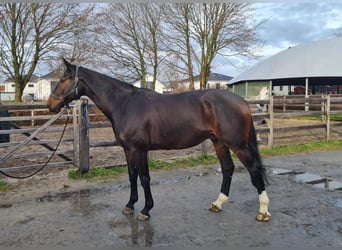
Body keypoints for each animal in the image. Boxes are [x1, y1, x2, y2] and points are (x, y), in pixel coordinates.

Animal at [48, 59, 272, 223]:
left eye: (64, 79)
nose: (50, 104)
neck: (125, 104)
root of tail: (242, 102)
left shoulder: (140, 150)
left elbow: (144, 178)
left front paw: (145, 210)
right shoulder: (128, 150)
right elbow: (132, 176)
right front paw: (130, 205)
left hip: (238, 144)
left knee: (254, 169)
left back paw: (262, 211)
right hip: (219, 142)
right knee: (227, 168)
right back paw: (218, 204)